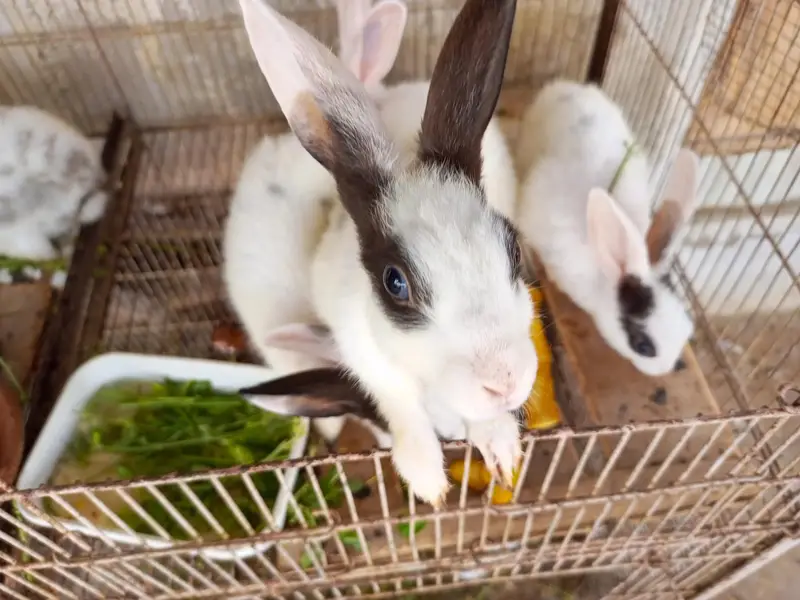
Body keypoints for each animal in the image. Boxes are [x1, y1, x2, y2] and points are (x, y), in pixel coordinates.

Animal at [238, 0, 536, 507]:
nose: (505, 381)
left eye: (512, 248)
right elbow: (402, 408)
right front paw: (427, 480)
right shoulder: (369, 362)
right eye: (396, 283)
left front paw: (500, 447)